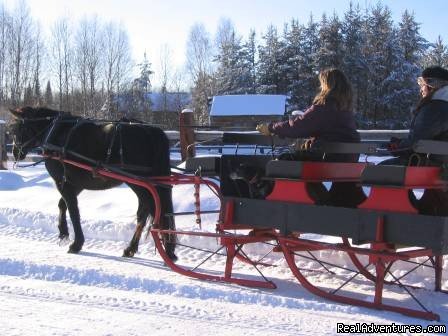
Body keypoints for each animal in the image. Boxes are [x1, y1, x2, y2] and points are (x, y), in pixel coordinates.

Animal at [9, 106, 175, 258]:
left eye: (16, 128)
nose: (15, 152)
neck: (56, 132)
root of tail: (151, 131)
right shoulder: (75, 183)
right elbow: (62, 205)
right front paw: (63, 232)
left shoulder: (62, 182)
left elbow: (73, 211)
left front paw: (76, 243)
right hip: (144, 183)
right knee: (145, 212)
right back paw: (132, 248)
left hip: (139, 182)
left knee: (153, 210)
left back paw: (168, 251)